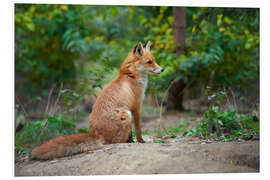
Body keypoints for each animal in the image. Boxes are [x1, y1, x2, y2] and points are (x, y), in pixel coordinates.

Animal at [31, 40, 162, 160]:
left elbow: (132, 132)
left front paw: (133, 140)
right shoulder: (136, 107)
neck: (131, 75)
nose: (162, 69)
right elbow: (138, 129)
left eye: (154, 60)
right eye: (149, 62)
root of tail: (96, 134)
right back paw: (126, 142)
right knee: (116, 141)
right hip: (126, 113)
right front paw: (141, 141)